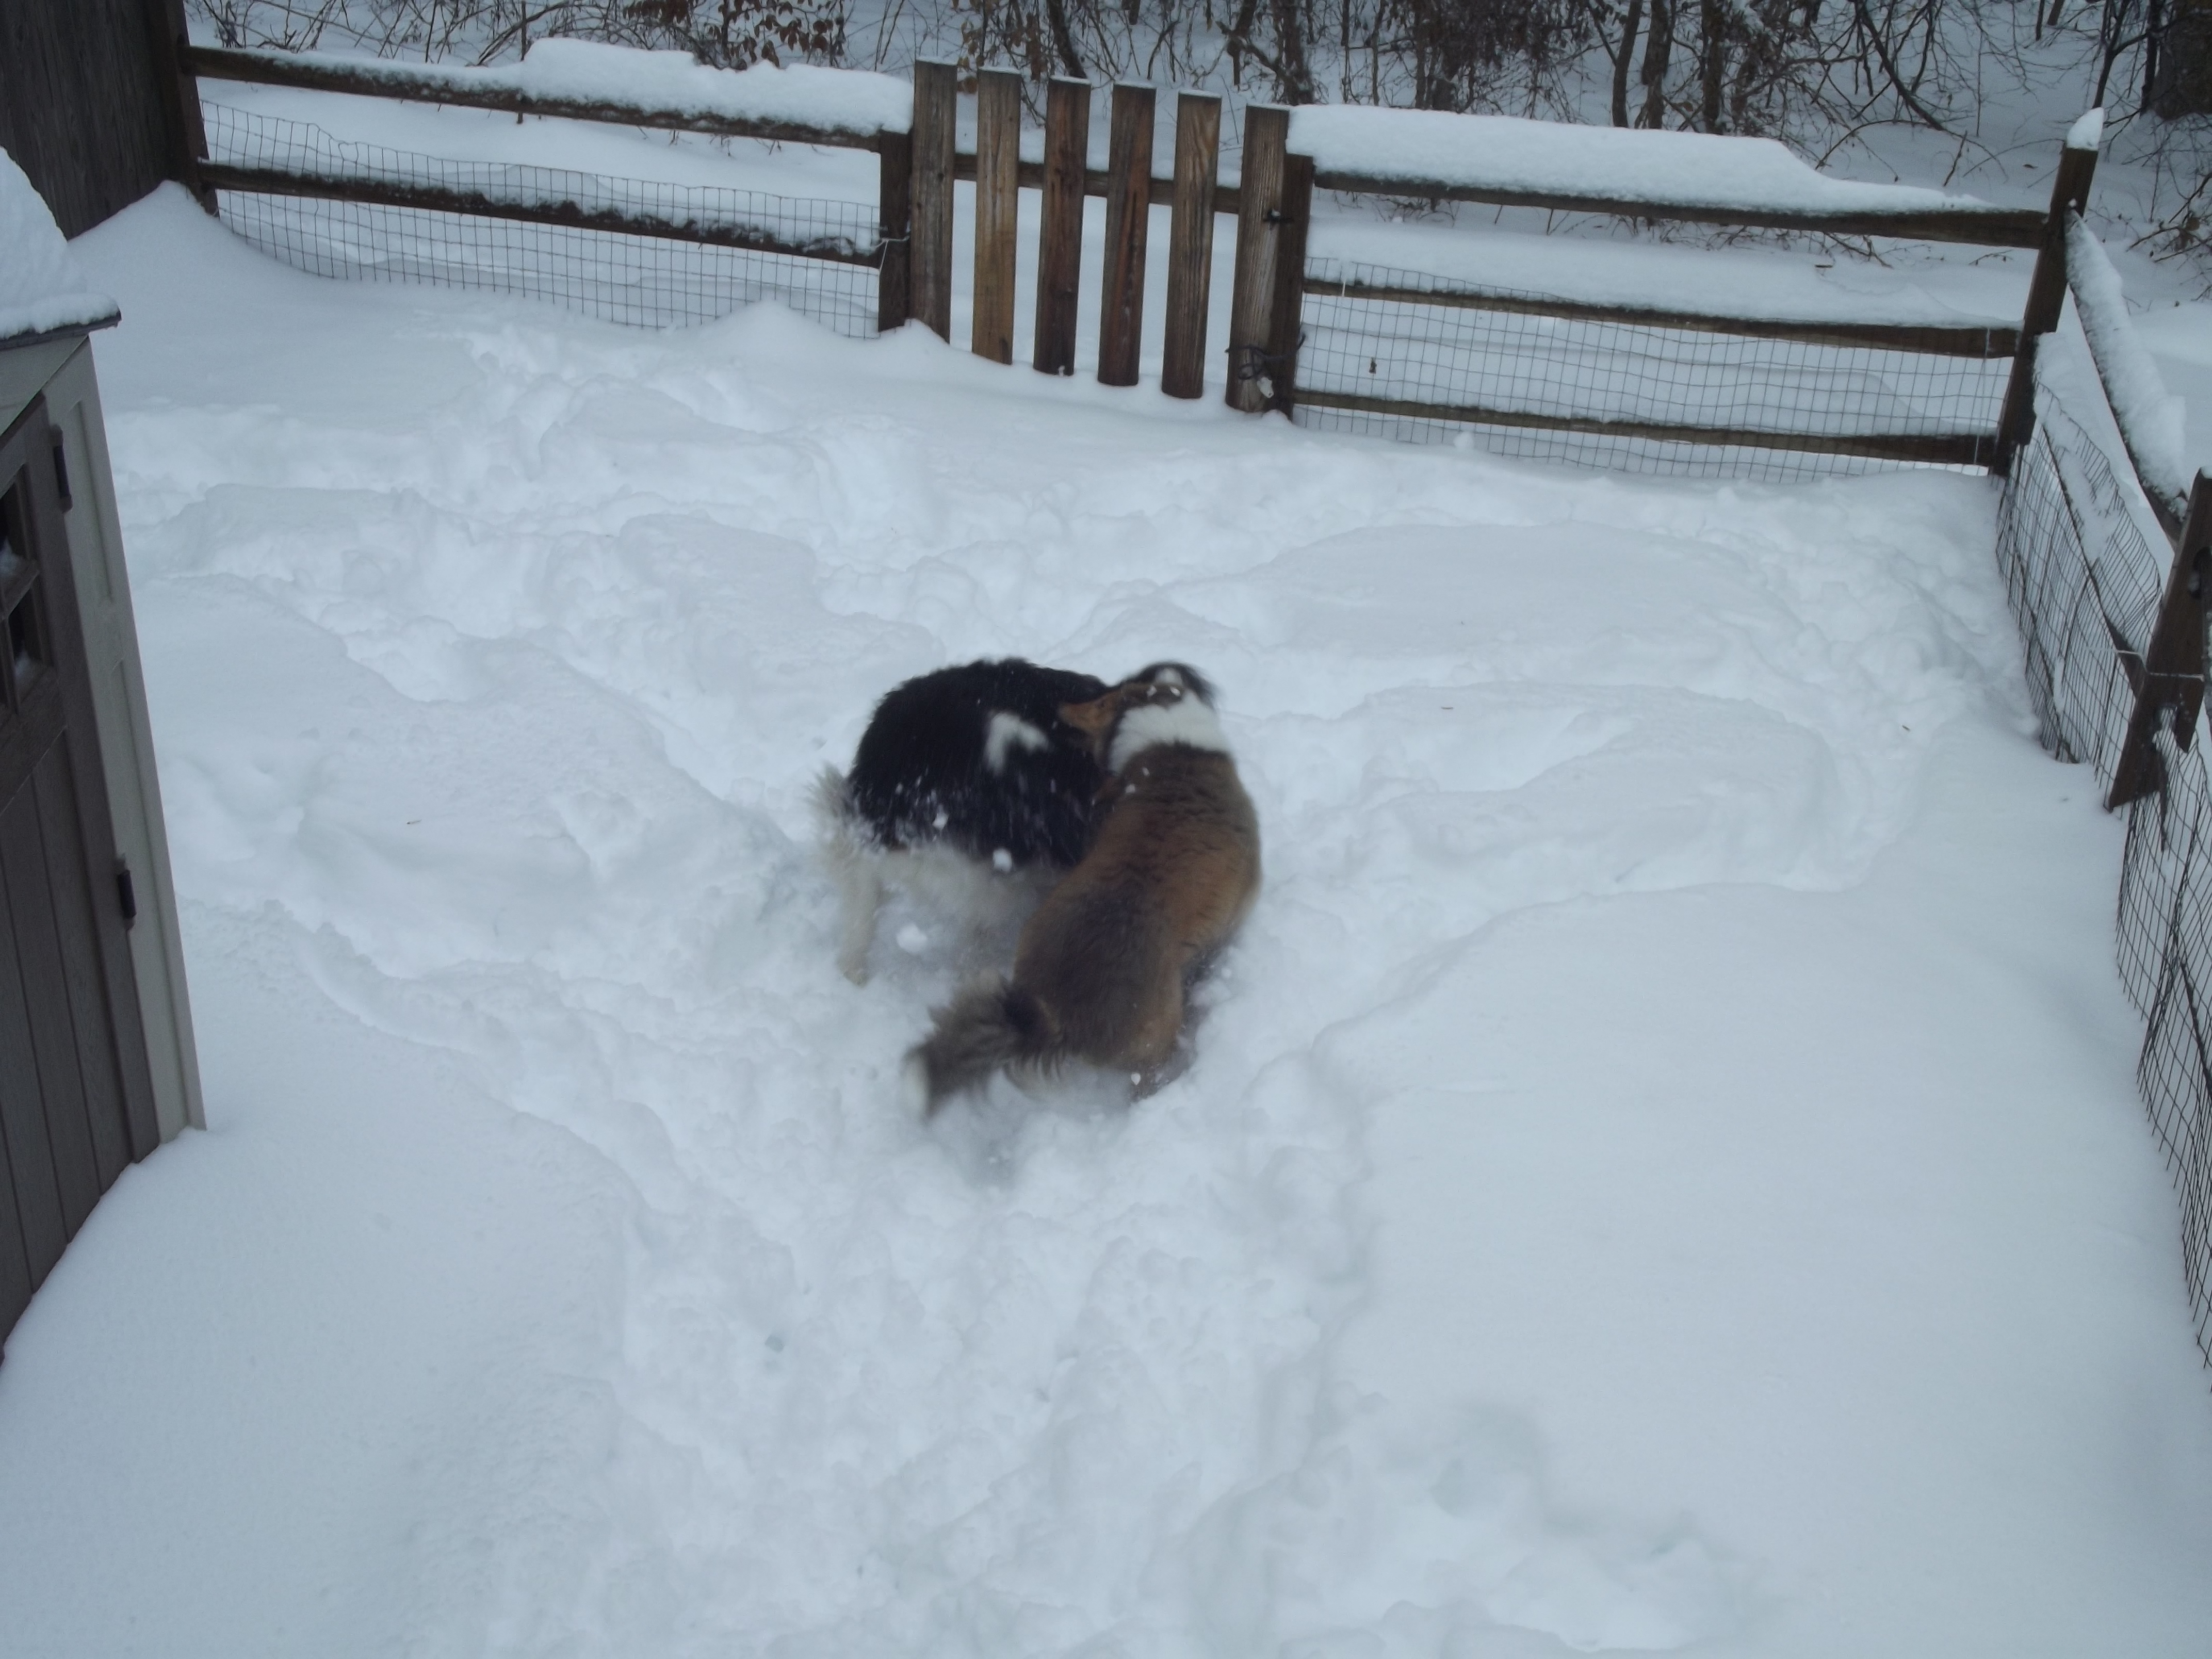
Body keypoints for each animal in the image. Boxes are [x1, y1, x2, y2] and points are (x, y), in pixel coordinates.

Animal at [905, 665, 1260, 1113]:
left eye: (1100, 700)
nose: (1061, 707)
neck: (1171, 745)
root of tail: (1057, 1015)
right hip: (1158, 1037)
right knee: (1147, 1078)